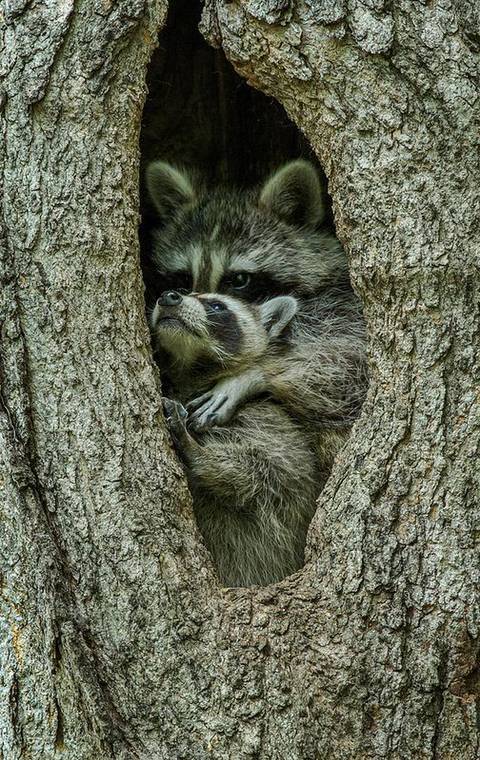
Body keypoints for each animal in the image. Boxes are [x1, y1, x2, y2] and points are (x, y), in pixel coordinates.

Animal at [146, 160, 368, 464]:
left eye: (239, 279)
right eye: (182, 279)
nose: (181, 301)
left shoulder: (341, 302)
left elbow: (351, 360)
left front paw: (252, 373)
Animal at [152, 290, 320, 588]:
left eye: (217, 306)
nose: (169, 296)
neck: (191, 371)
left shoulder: (269, 421)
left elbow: (271, 472)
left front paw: (197, 452)